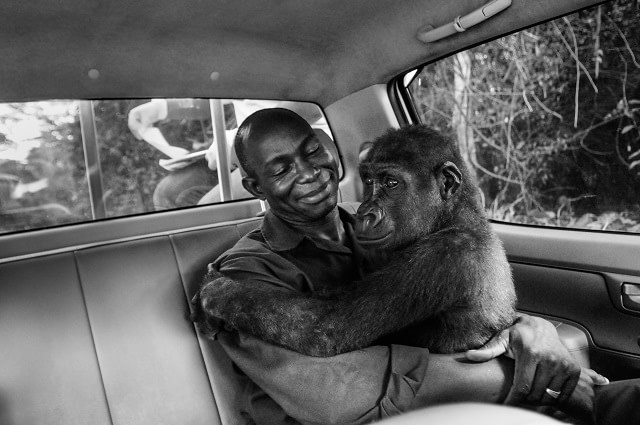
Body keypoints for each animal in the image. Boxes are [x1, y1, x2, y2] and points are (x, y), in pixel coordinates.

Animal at [198, 125, 516, 354]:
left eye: (391, 183)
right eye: (369, 181)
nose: (365, 212)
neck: (453, 217)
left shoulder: (442, 257)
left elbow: (326, 326)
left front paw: (222, 292)